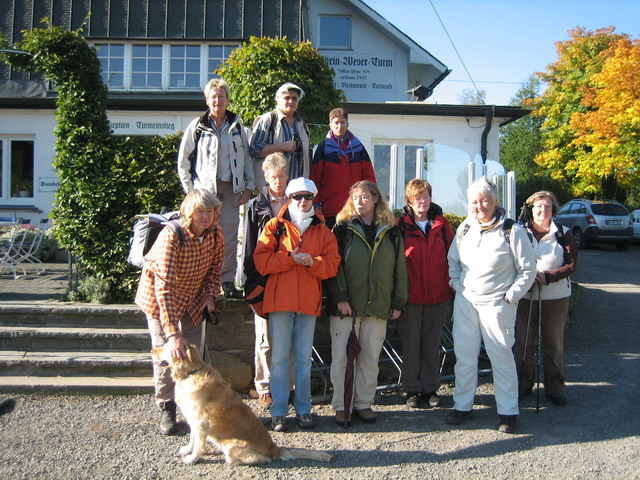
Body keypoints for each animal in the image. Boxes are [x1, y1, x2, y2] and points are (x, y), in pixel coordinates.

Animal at [150, 344, 330, 464]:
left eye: (165, 346)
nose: (152, 351)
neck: (191, 374)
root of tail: (273, 447)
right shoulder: (193, 421)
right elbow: (192, 439)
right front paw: (187, 449)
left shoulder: (201, 424)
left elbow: (199, 445)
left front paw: (192, 458)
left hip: (233, 445)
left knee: (261, 459)